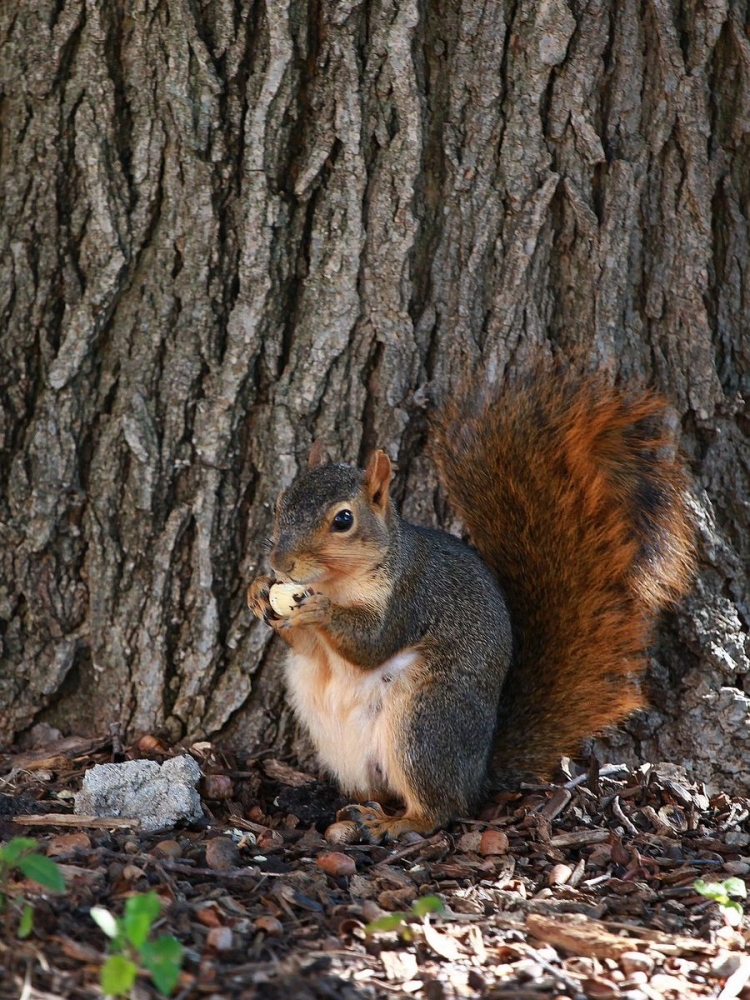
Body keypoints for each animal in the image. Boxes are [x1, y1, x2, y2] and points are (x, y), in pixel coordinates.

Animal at [250, 372, 696, 840]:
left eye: (343, 520)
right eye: (280, 503)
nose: (279, 562)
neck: (337, 581)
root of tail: (477, 772)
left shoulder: (410, 597)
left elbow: (372, 644)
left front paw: (320, 611)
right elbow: (306, 647)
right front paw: (259, 592)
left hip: (425, 723)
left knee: (441, 807)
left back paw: (394, 822)